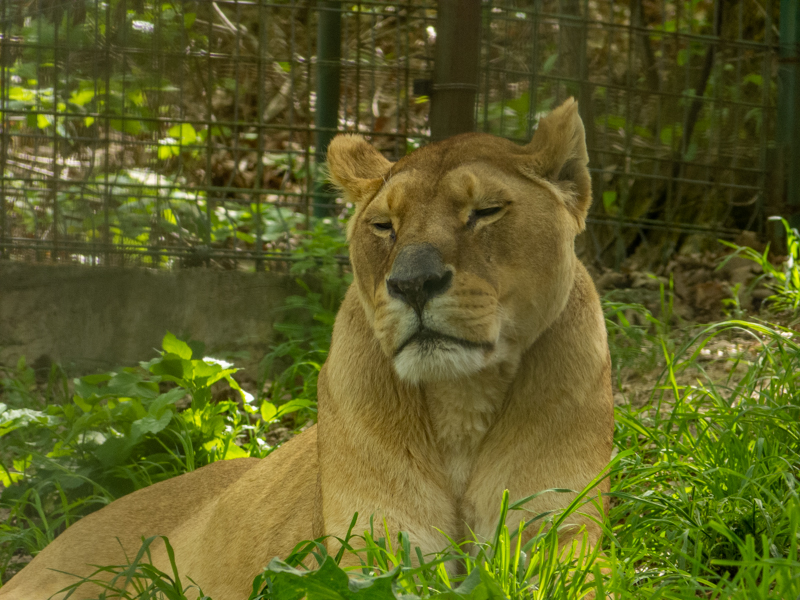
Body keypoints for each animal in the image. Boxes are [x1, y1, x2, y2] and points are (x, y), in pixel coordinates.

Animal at [0, 98, 613, 600]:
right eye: (383, 225)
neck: (461, 403)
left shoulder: (560, 530)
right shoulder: (370, 548)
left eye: (486, 211)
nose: (413, 283)